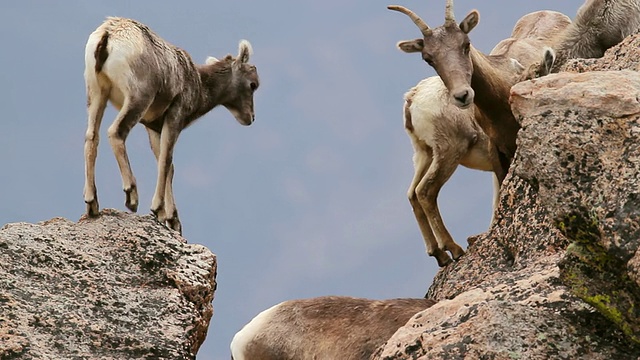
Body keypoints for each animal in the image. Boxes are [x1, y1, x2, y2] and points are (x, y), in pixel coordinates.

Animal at [84, 16, 258, 232]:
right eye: (253, 85)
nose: (250, 118)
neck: (198, 84)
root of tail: (108, 34)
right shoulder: (175, 115)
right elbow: (166, 162)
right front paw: (159, 210)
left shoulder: (152, 127)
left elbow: (167, 165)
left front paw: (173, 220)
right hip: (137, 98)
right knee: (116, 132)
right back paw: (132, 196)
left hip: (96, 92)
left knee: (92, 137)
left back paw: (92, 204)